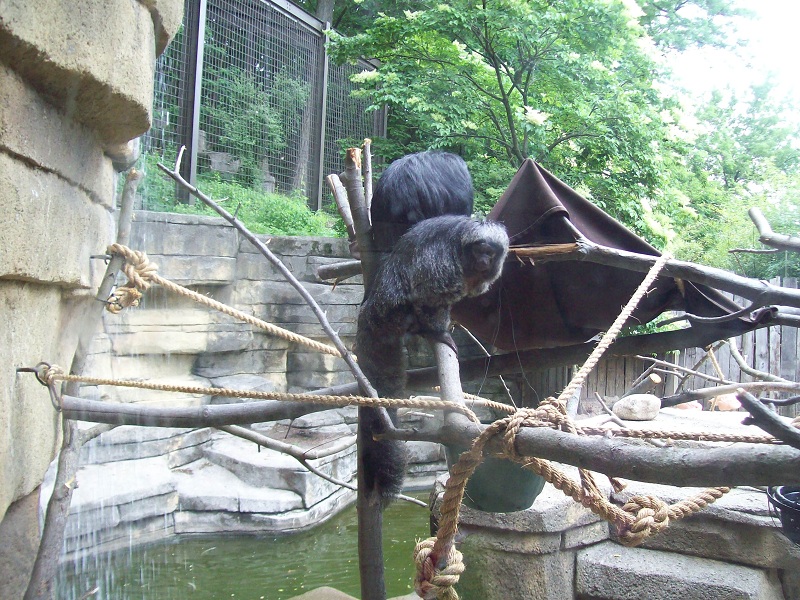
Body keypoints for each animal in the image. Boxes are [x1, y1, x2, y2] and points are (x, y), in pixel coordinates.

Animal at [356, 215, 509, 503]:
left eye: (490, 253)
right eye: (479, 250)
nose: (484, 260)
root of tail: (371, 310)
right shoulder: (443, 264)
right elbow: (426, 291)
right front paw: (438, 330)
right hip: (392, 311)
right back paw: (427, 329)